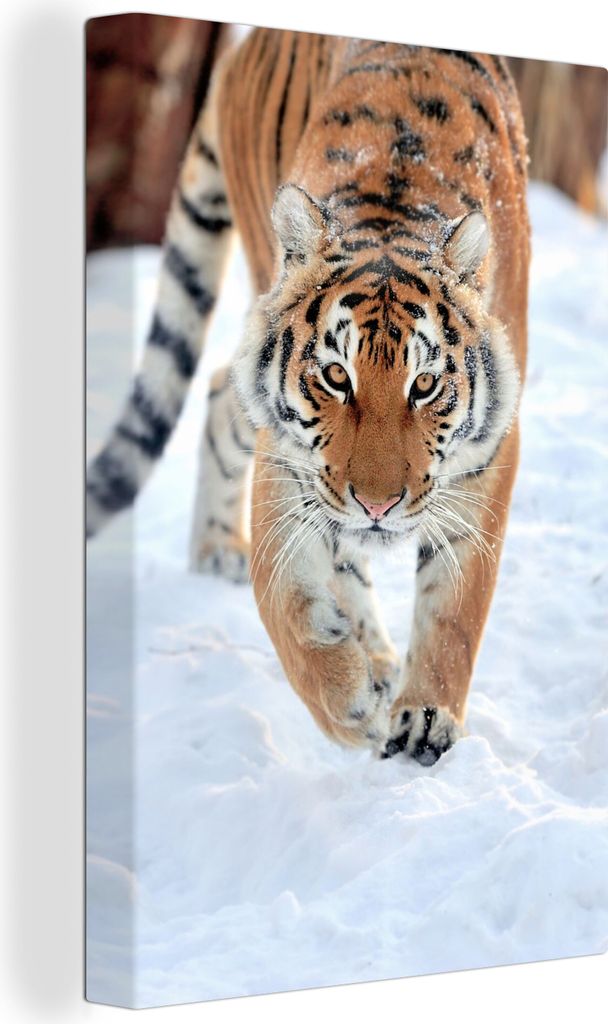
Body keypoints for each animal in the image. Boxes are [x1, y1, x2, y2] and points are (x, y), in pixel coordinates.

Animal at [86, 28, 529, 764]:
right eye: (336, 377)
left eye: (425, 385)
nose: (377, 505)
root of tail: (245, 39)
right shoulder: (290, 457)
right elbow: (286, 599)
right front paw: (351, 703)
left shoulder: (490, 451)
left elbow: (456, 605)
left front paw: (425, 716)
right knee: (222, 396)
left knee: (218, 392)